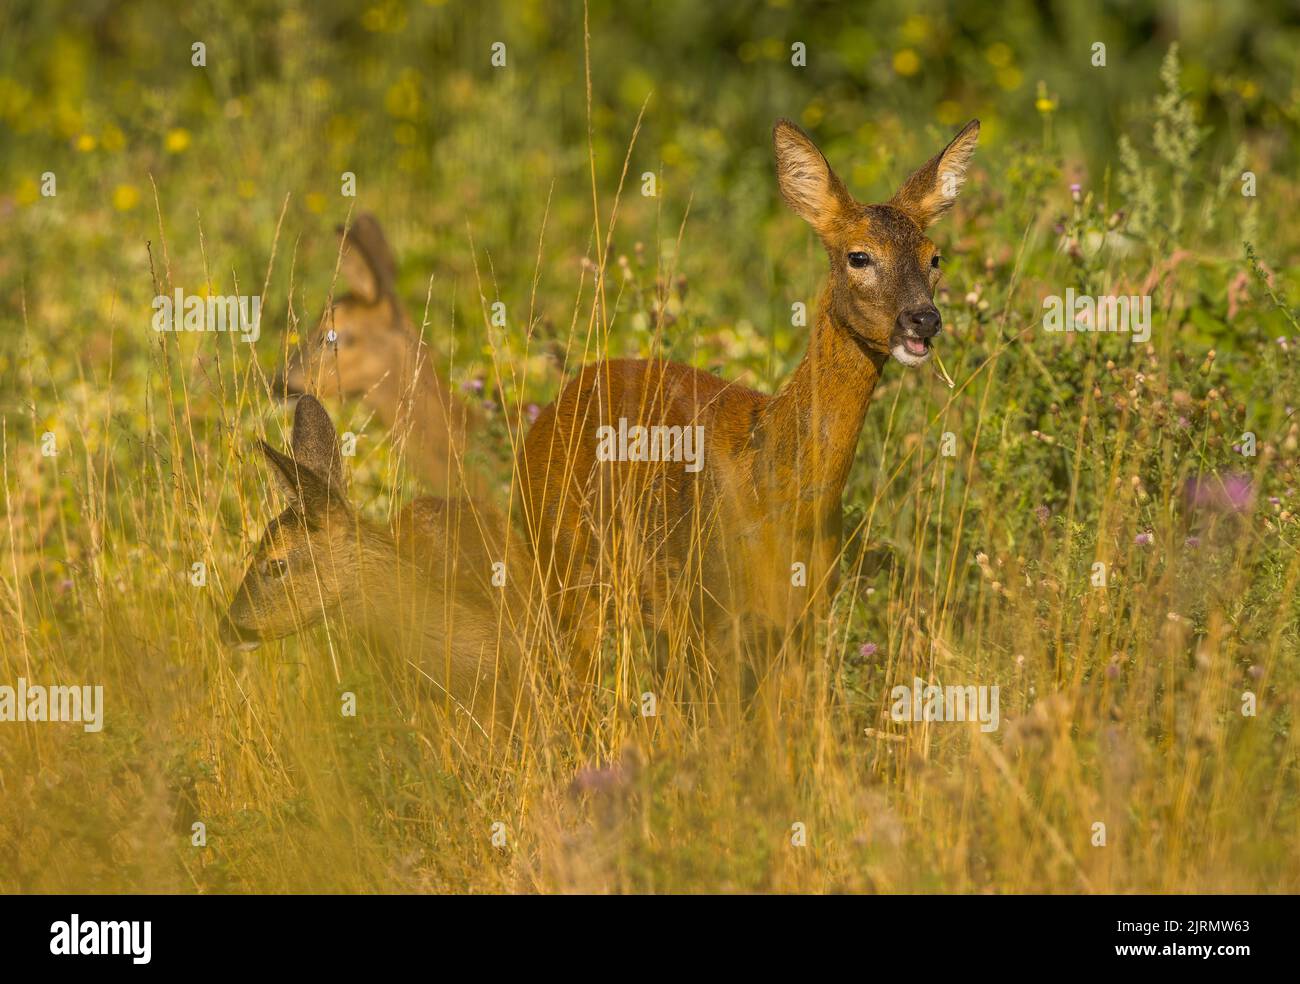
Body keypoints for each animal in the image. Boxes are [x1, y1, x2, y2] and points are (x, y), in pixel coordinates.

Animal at [519, 118, 979, 674]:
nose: (924, 319)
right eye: (859, 255)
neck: (780, 497)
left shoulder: (803, 618)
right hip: (566, 572)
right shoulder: (710, 615)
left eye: (935, 257)